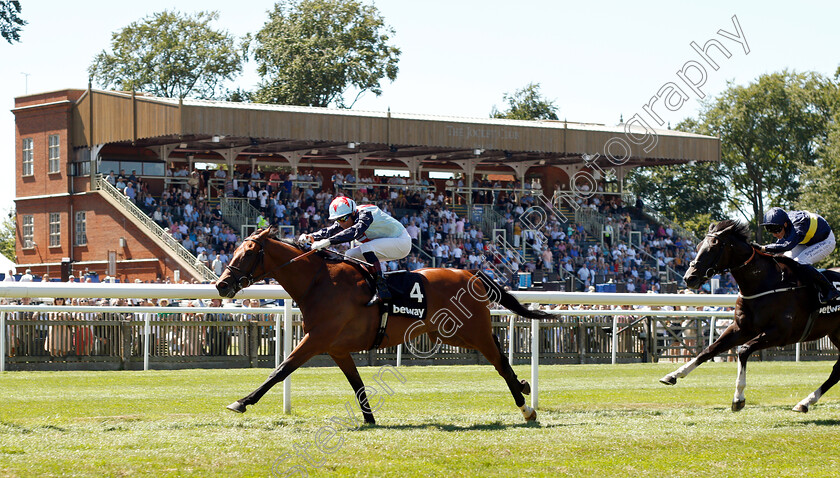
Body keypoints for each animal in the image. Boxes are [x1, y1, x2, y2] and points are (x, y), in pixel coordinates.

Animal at [217, 227, 552, 422]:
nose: (222, 285)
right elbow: (357, 383)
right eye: (233, 251)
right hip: (452, 334)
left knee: (499, 361)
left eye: (248, 253)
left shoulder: (316, 339)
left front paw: (242, 402)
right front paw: (369, 419)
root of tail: (471, 273)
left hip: (473, 331)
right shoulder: (336, 348)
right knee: (499, 354)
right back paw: (524, 386)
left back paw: (526, 407)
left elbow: (281, 369)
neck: (319, 281)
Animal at [660, 220, 840, 410]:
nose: (689, 278)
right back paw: (805, 402)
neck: (765, 282)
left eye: (713, 247)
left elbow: (744, 350)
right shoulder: (741, 328)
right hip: (836, 333)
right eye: (698, 246)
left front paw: (738, 397)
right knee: (837, 370)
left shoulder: (781, 333)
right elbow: (708, 350)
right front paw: (673, 375)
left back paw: (806, 401)